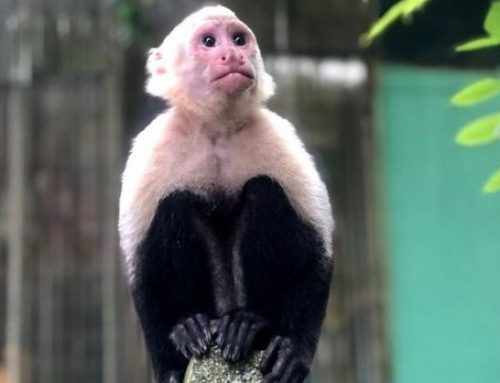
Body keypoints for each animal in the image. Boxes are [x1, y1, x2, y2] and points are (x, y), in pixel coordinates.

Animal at [119, 6, 334, 383]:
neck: (216, 129)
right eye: (209, 41)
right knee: (174, 203)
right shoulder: (152, 149)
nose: (233, 55)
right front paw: (170, 369)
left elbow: (318, 257)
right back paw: (191, 326)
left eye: (238, 39)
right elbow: (139, 274)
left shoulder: (278, 137)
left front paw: (293, 352)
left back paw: (250, 324)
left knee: (264, 191)